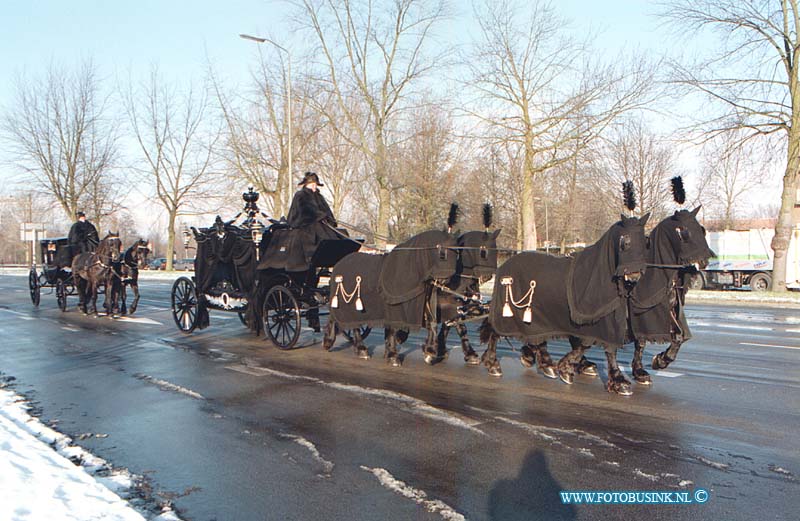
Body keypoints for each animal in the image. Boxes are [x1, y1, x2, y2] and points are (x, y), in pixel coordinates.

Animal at [478, 213, 648, 392]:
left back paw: (542, 363)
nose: (634, 276)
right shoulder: (597, 323)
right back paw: (493, 364)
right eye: (625, 241)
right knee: (495, 330)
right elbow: (595, 346)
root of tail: (503, 267)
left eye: (644, 242)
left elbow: (600, 346)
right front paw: (617, 381)